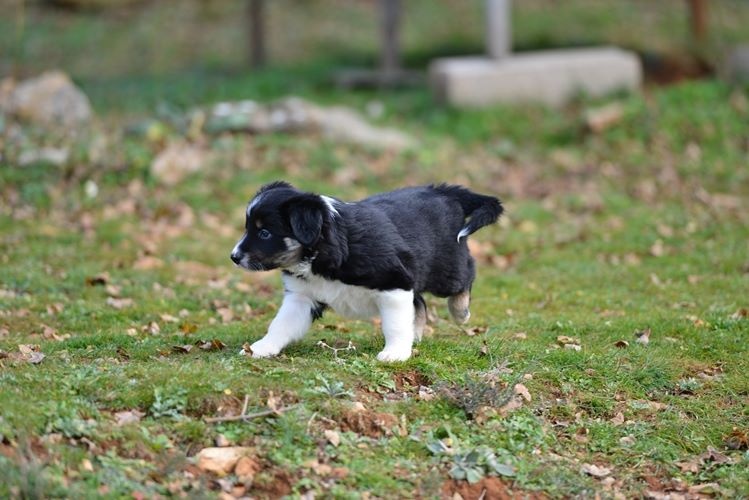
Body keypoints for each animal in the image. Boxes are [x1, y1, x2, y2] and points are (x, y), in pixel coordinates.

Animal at [229, 182, 502, 362]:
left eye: (265, 233)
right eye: (248, 228)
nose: (234, 257)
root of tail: (442, 191)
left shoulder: (394, 283)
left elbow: (395, 325)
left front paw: (394, 354)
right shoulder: (302, 297)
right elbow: (280, 325)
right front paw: (259, 348)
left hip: (445, 267)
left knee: (466, 273)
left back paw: (460, 312)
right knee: (420, 303)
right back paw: (416, 335)